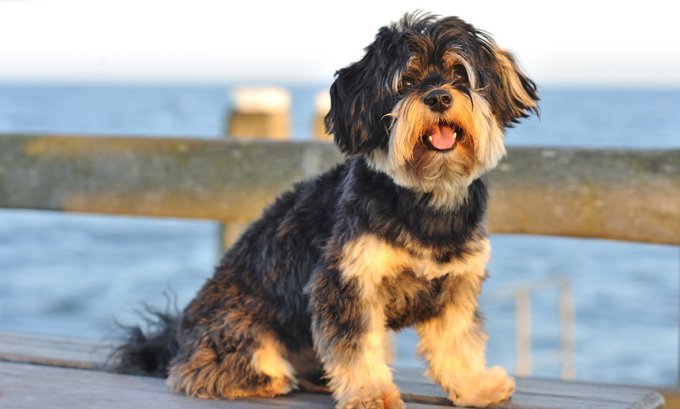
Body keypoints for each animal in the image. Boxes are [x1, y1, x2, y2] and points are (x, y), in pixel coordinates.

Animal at [113, 11, 536, 408]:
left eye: (459, 73)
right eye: (405, 81)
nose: (438, 97)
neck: (427, 200)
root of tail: (173, 338)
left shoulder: (455, 286)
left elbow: (457, 342)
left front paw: (476, 386)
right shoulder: (345, 283)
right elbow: (357, 348)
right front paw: (371, 394)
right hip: (234, 327)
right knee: (205, 368)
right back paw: (262, 379)